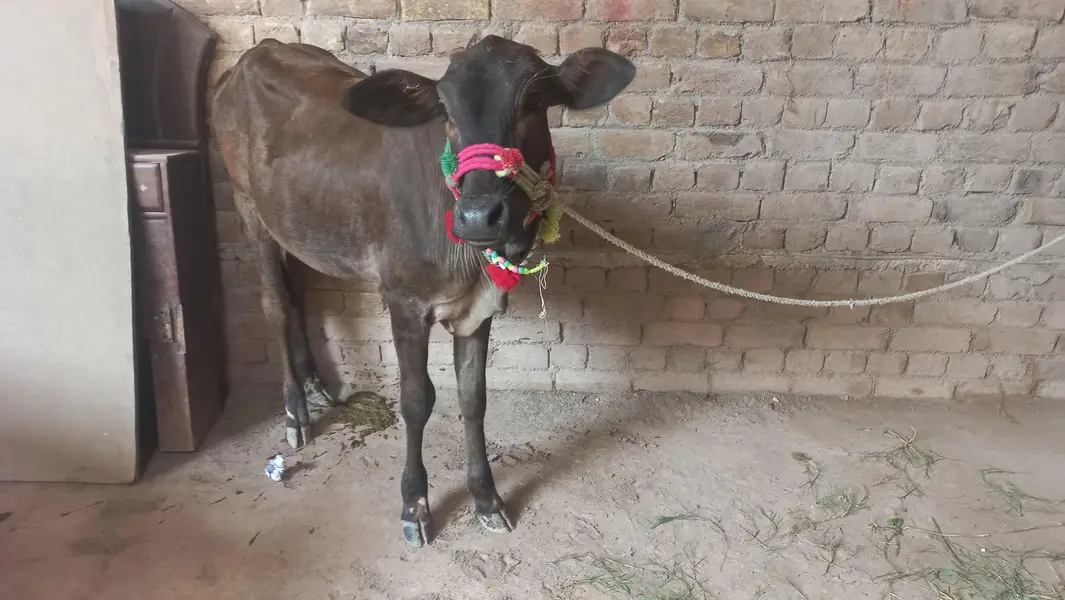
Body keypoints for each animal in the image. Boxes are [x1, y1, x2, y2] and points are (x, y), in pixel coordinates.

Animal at [210, 35, 635, 546]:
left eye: (533, 102)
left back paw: (315, 386)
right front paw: (414, 504)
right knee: (275, 305)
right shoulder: (404, 302)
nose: (478, 217)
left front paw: (486, 498)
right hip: (249, 209)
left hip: (301, 229)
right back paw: (296, 412)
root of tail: (258, 52)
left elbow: (473, 398)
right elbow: (416, 401)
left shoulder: (478, 308)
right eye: (445, 109)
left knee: (298, 295)